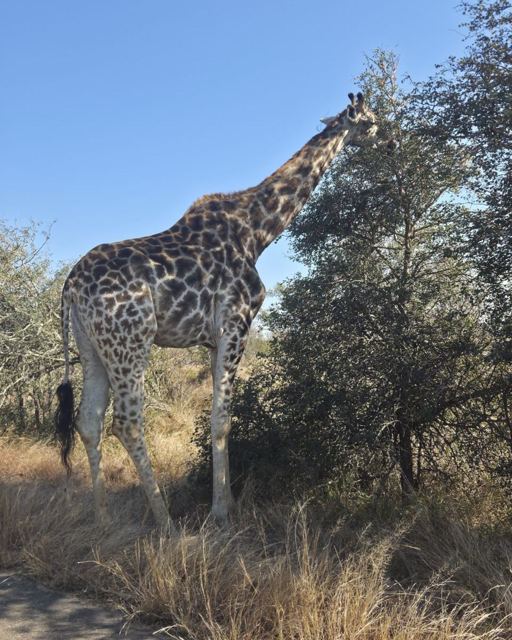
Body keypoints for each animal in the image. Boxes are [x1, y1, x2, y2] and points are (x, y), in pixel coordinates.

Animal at [55, 92, 388, 529]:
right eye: (370, 121)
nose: (390, 141)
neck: (259, 231)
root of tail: (71, 286)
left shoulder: (212, 340)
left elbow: (219, 418)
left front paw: (225, 502)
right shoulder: (235, 325)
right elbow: (221, 419)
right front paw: (221, 512)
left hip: (91, 348)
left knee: (88, 421)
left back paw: (102, 517)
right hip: (130, 341)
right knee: (126, 423)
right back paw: (165, 522)